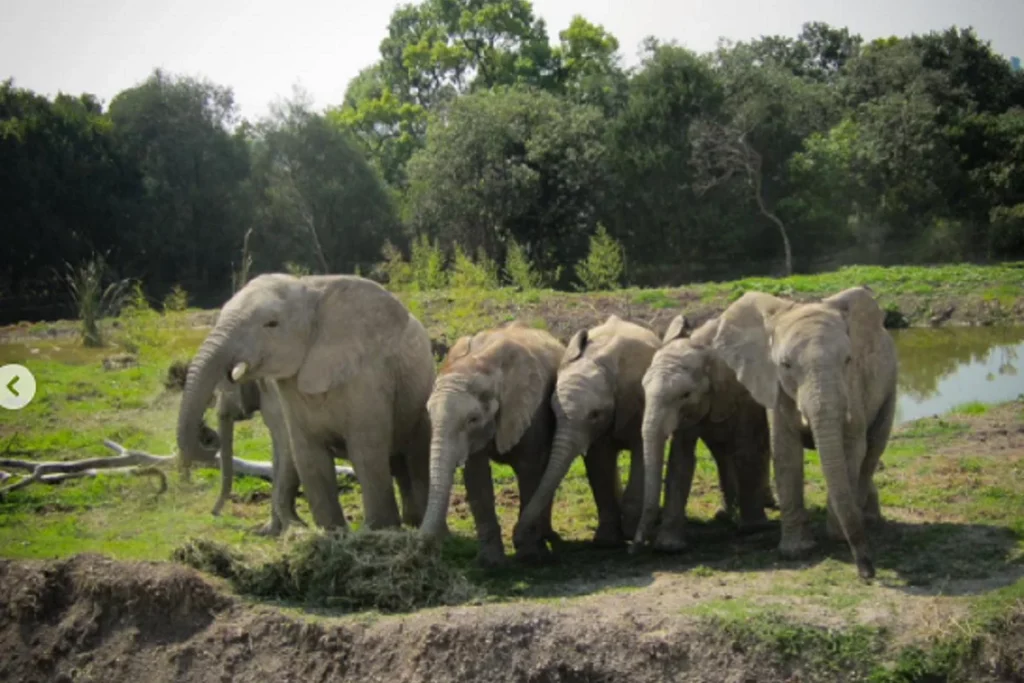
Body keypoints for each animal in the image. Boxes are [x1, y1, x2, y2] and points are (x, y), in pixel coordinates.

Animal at [177, 273, 437, 534]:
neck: (310, 289)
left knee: (412, 455)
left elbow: (365, 450)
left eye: (271, 324)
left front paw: (378, 531)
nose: (215, 514)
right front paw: (332, 533)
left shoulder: (369, 377)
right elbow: (307, 455)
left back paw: (416, 522)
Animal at [419, 322, 565, 567]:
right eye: (429, 414)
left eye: (473, 419)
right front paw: (490, 563)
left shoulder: (531, 410)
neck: (480, 364)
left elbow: (529, 470)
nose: (422, 549)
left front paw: (529, 556)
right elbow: (476, 475)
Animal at [514, 315, 660, 549]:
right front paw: (606, 542)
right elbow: (599, 463)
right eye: (552, 411)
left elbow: (641, 454)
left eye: (594, 414)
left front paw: (630, 532)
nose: (516, 537)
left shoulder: (638, 402)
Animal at [632, 314, 775, 553]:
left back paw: (767, 506)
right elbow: (681, 459)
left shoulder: (745, 395)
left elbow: (746, 450)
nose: (633, 547)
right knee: (722, 453)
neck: (704, 347)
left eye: (685, 394)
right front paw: (669, 546)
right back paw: (724, 514)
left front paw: (753, 528)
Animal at [709, 286, 898, 579]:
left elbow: (851, 448)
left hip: (890, 386)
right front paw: (796, 551)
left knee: (872, 450)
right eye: (785, 365)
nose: (867, 572)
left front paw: (837, 537)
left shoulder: (854, 384)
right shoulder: (774, 388)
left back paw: (869, 520)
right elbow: (785, 453)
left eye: (848, 360)